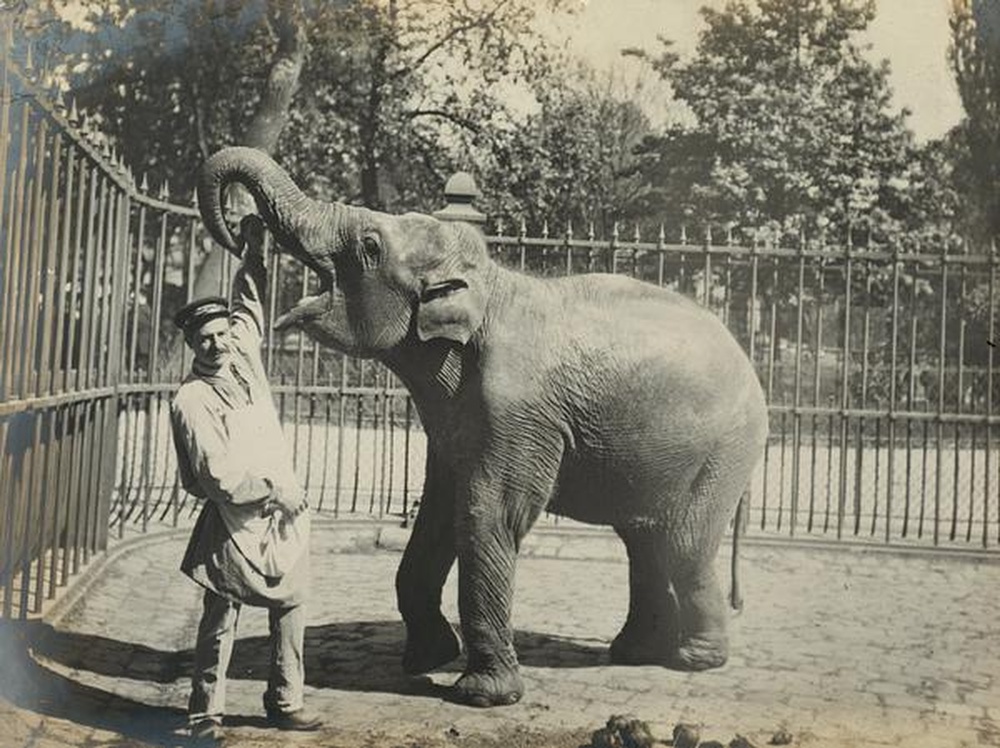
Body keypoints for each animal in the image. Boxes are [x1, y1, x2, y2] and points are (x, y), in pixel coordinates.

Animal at [197, 145, 772, 708]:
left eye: (369, 245)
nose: (243, 228)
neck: (485, 284)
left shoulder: (516, 410)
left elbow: (487, 514)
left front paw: (481, 695)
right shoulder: (452, 419)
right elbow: (437, 511)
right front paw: (426, 659)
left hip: (725, 449)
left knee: (682, 542)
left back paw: (694, 661)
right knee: (644, 538)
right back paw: (633, 653)